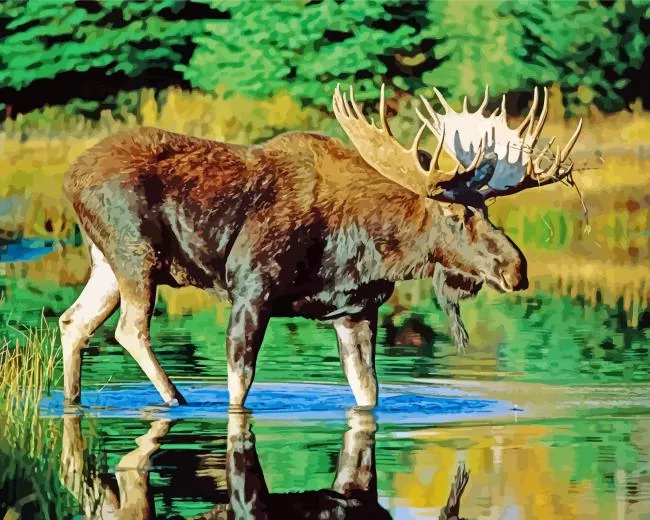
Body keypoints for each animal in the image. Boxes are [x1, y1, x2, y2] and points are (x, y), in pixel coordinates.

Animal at [59, 83, 582, 409]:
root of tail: (71, 176)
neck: (365, 248)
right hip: (135, 253)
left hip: (105, 262)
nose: (517, 268)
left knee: (73, 321)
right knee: (129, 328)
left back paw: (73, 401)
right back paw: (176, 400)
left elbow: (368, 393)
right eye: (456, 215)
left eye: (488, 210)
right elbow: (239, 387)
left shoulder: (356, 310)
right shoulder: (250, 288)